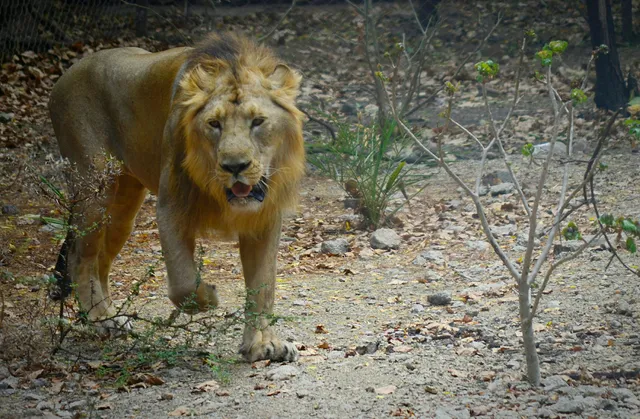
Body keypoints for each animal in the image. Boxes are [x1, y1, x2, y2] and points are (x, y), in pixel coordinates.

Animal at [48, 33, 305, 362]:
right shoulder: (171, 207)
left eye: (258, 121)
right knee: (81, 256)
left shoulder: (264, 218)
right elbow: (183, 283)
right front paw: (209, 297)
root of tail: (64, 76)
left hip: (122, 207)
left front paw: (264, 345)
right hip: (94, 186)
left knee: (101, 260)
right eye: (214, 124)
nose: (235, 167)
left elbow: (264, 285)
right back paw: (101, 320)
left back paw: (114, 317)